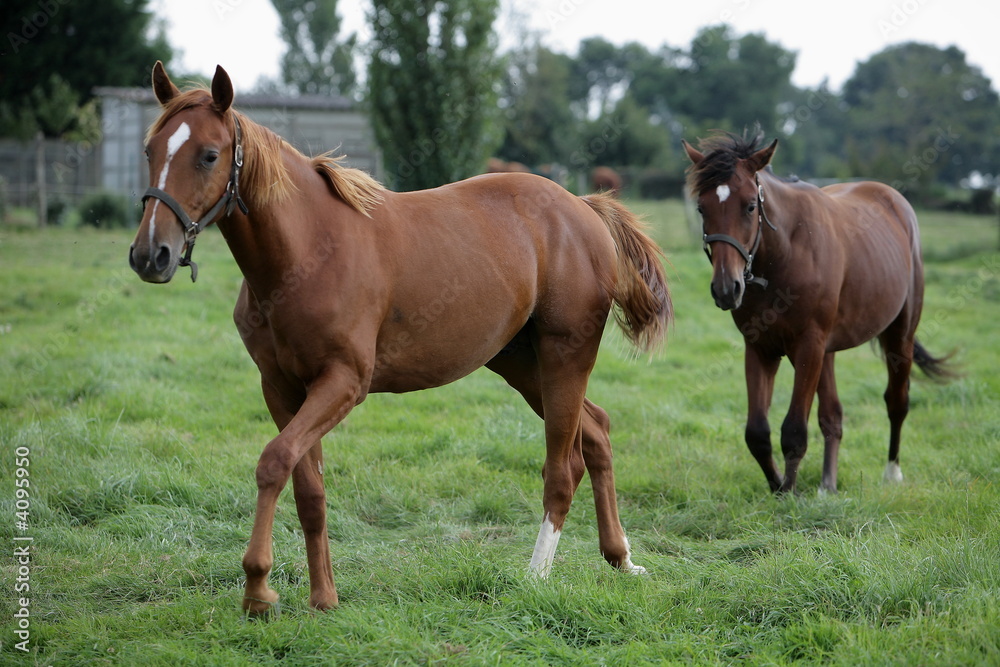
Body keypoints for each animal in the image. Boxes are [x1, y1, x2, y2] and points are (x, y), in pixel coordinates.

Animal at [127, 64, 672, 616]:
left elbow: (274, 461)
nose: (151, 254)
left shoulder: (344, 383)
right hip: (520, 364)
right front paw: (323, 597)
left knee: (564, 467)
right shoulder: (281, 388)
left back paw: (536, 576)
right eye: (150, 151)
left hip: (565, 357)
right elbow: (308, 488)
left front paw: (258, 587)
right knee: (598, 431)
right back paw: (621, 558)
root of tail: (582, 207)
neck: (306, 252)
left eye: (209, 155)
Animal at [680, 133, 952, 496]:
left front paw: (788, 493)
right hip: (828, 351)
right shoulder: (761, 348)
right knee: (832, 415)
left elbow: (794, 430)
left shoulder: (809, 346)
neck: (786, 252)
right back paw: (828, 484)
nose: (726, 288)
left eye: (750, 205)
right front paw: (778, 485)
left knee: (897, 401)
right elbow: (757, 433)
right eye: (702, 208)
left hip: (899, 335)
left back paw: (892, 472)